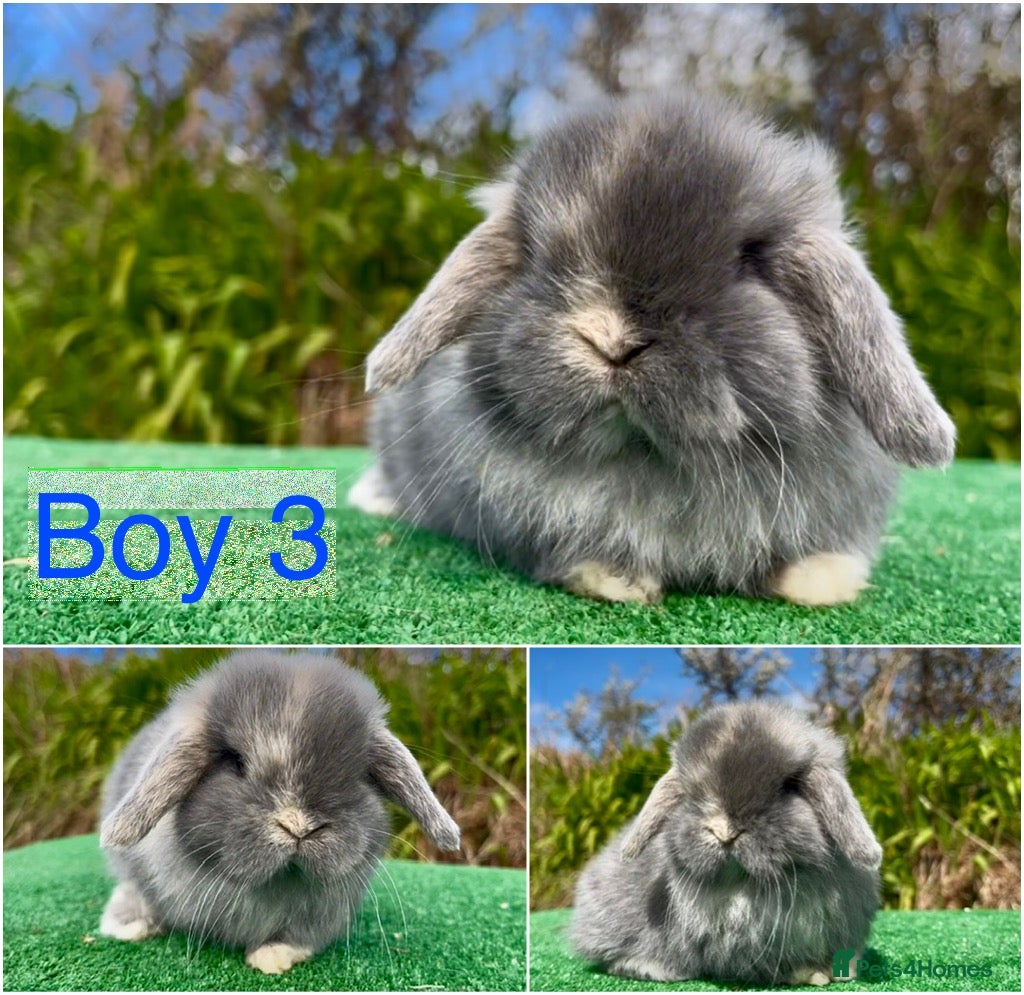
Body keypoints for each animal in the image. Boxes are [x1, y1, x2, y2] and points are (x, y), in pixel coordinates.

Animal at [348, 92, 955, 606]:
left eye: (749, 258)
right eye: (535, 254)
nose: (612, 338)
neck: (649, 460)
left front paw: (825, 580)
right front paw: (615, 580)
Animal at [570, 700, 882, 986]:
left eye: (790, 786)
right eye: (690, 793)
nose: (724, 831)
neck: (743, 889)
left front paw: (843, 971)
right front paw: (813, 975)